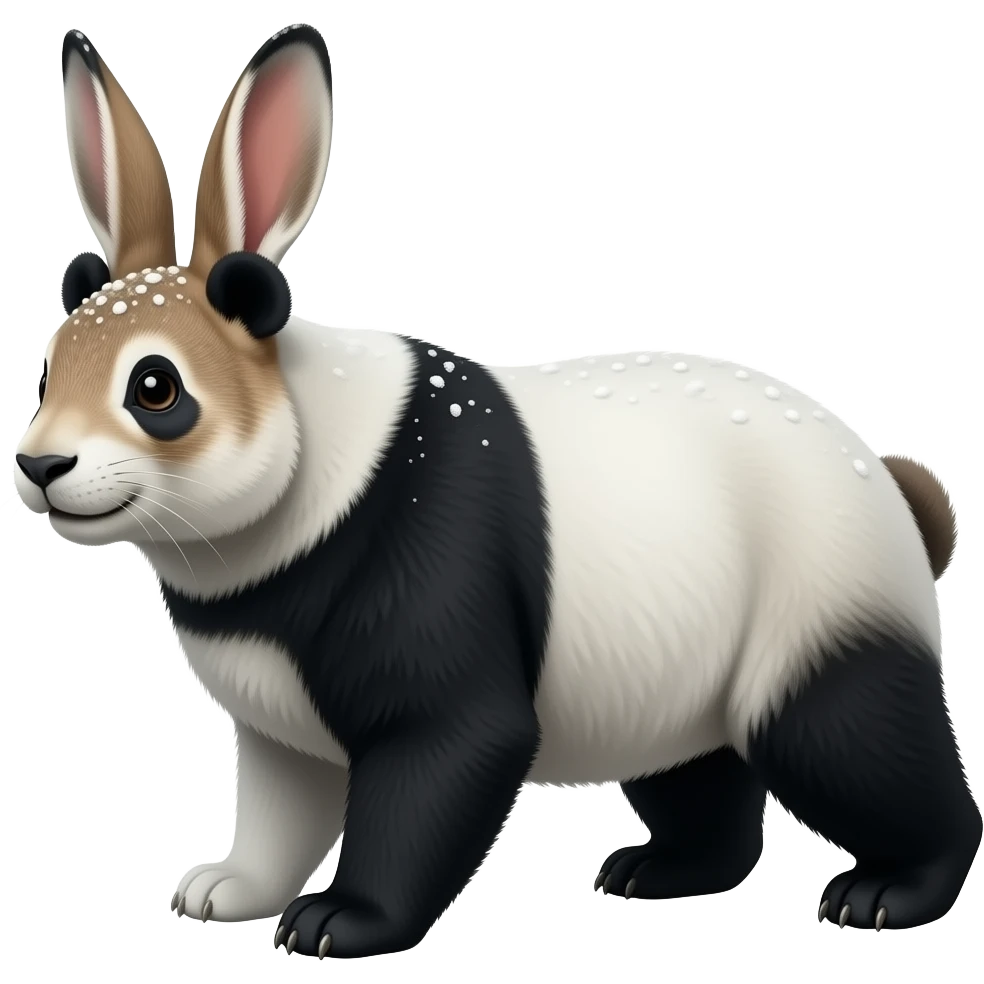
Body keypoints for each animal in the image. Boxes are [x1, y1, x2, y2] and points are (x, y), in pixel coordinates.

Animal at [15, 26, 978, 960]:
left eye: (155, 389)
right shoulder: (269, 663)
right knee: (693, 764)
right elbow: (286, 783)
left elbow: (449, 739)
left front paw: (343, 919)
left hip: (817, 583)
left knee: (844, 733)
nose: (41, 467)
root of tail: (886, 480)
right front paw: (229, 890)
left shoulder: (418, 550)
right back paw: (667, 868)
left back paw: (892, 890)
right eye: (49, 373)